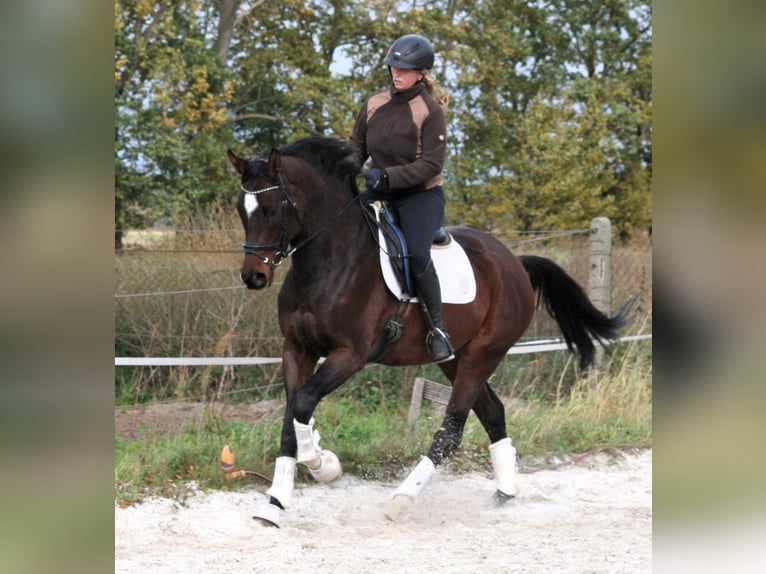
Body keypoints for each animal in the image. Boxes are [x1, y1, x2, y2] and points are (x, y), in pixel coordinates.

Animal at [226, 136, 629, 527]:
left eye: (273, 209)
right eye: (241, 209)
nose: (253, 276)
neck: (327, 264)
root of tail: (514, 262)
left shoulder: (350, 355)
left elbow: (304, 404)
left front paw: (324, 465)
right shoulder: (297, 349)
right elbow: (291, 417)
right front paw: (274, 505)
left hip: (483, 354)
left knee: (452, 430)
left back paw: (401, 500)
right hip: (454, 358)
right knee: (493, 412)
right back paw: (505, 491)